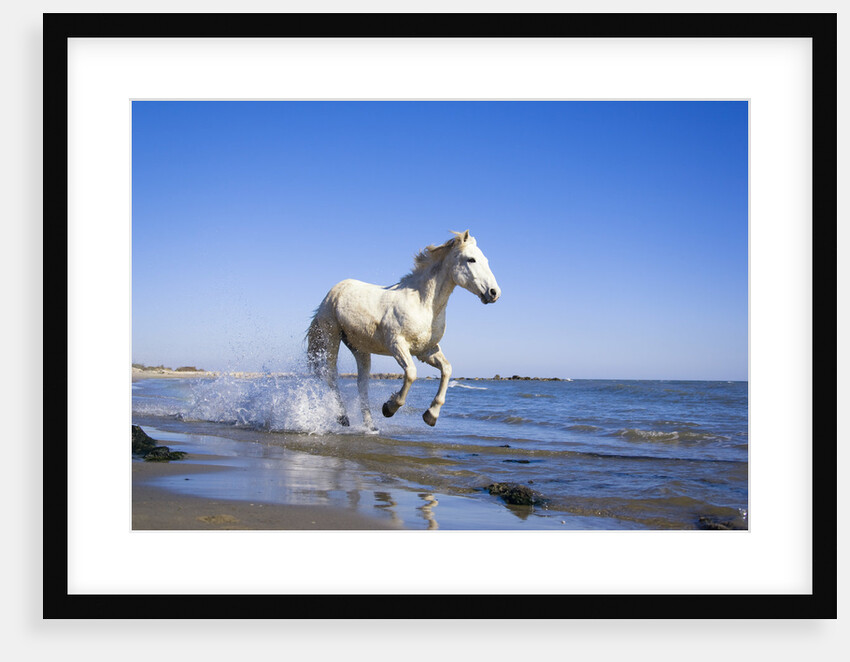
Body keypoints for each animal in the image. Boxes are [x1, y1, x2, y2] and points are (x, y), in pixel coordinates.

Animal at [306, 230, 501, 430]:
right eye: (471, 259)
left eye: (485, 260)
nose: (494, 292)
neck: (422, 304)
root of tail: (333, 292)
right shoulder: (397, 344)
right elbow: (411, 374)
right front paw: (389, 408)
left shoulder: (426, 350)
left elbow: (447, 369)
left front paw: (431, 415)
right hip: (331, 337)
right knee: (331, 375)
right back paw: (343, 418)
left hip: (360, 348)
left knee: (362, 384)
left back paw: (371, 426)